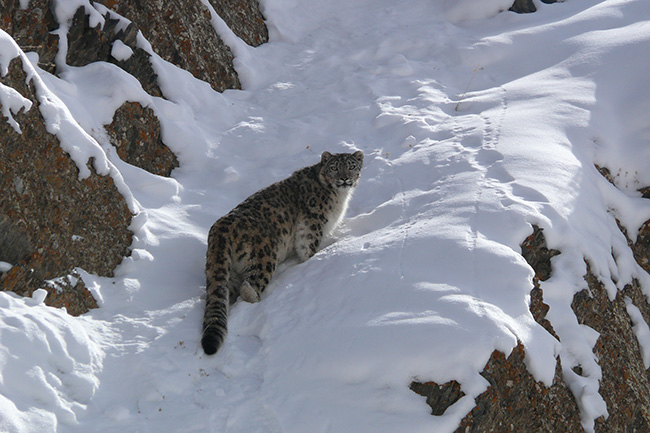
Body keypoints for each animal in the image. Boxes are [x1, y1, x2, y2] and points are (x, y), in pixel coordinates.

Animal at [200, 150, 362, 352]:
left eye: (351, 166)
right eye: (334, 167)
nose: (345, 178)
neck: (339, 198)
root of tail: (220, 227)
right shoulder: (312, 226)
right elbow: (309, 250)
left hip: (228, 273)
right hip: (264, 257)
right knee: (249, 287)